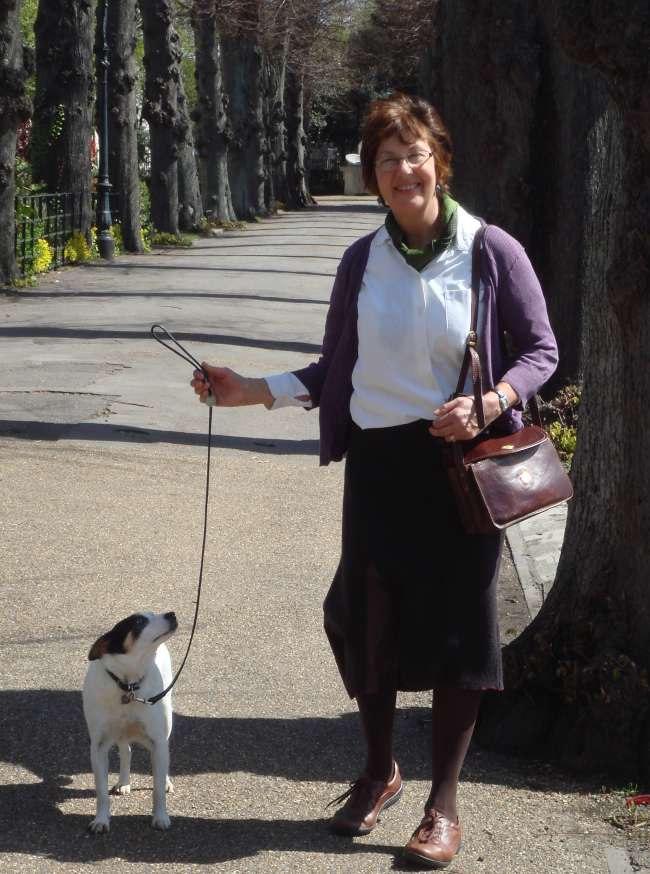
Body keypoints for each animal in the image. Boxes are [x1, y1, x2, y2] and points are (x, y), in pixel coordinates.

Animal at [82, 608, 177, 828]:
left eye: (153, 613)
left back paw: (166, 781)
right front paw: (101, 820)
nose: (171, 613)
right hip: (120, 734)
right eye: (140, 621)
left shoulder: (158, 741)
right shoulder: (98, 747)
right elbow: (101, 792)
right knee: (126, 751)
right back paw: (123, 782)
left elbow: (158, 789)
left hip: (164, 730)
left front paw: (160, 817)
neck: (128, 684)